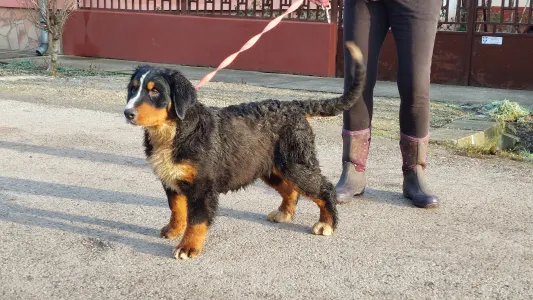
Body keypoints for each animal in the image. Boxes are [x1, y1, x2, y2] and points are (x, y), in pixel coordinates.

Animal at [124, 41, 366, 258]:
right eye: (133, 89)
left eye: (155, 92)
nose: (127, 113)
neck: (175, 131)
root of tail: (294, 105)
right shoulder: (171, 179)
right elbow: (176, 208)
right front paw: (173, 230)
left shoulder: (203, 187)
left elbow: (197, 220)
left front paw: (188, 247)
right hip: (271, 168)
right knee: (290, 190)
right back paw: (283, 214)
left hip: (297, 165)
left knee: (324, 189)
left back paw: (327, 223)